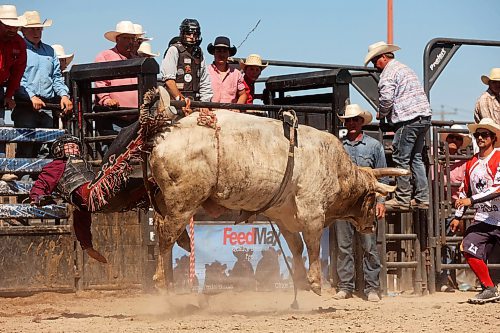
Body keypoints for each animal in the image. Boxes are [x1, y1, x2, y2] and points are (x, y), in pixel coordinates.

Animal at [149, 109, 406, 296]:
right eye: (371, 198)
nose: (372, 225)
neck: (338, 170)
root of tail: (161, 140)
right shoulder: (312, 213)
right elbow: (312, 244)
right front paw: (315, 282)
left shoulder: (283, 215)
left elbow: (296, 246)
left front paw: (300, 280)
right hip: (183, 202)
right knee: (166, 236)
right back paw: (162, 282)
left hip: (165, 200)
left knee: (164, 229)